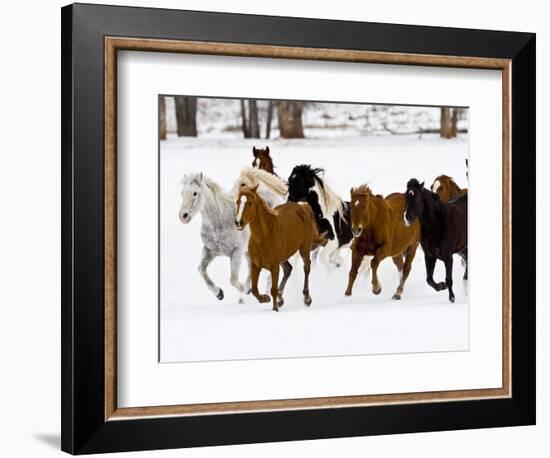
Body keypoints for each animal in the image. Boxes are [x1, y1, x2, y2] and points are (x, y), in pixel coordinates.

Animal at [179, 172, 250, 300]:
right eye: (182, 192)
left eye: (195, 193)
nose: (183, 216)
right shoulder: (210, 251)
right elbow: (201, 269)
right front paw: (218, 293)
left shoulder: (237, 251)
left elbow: (233, 279)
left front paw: (246, 290)